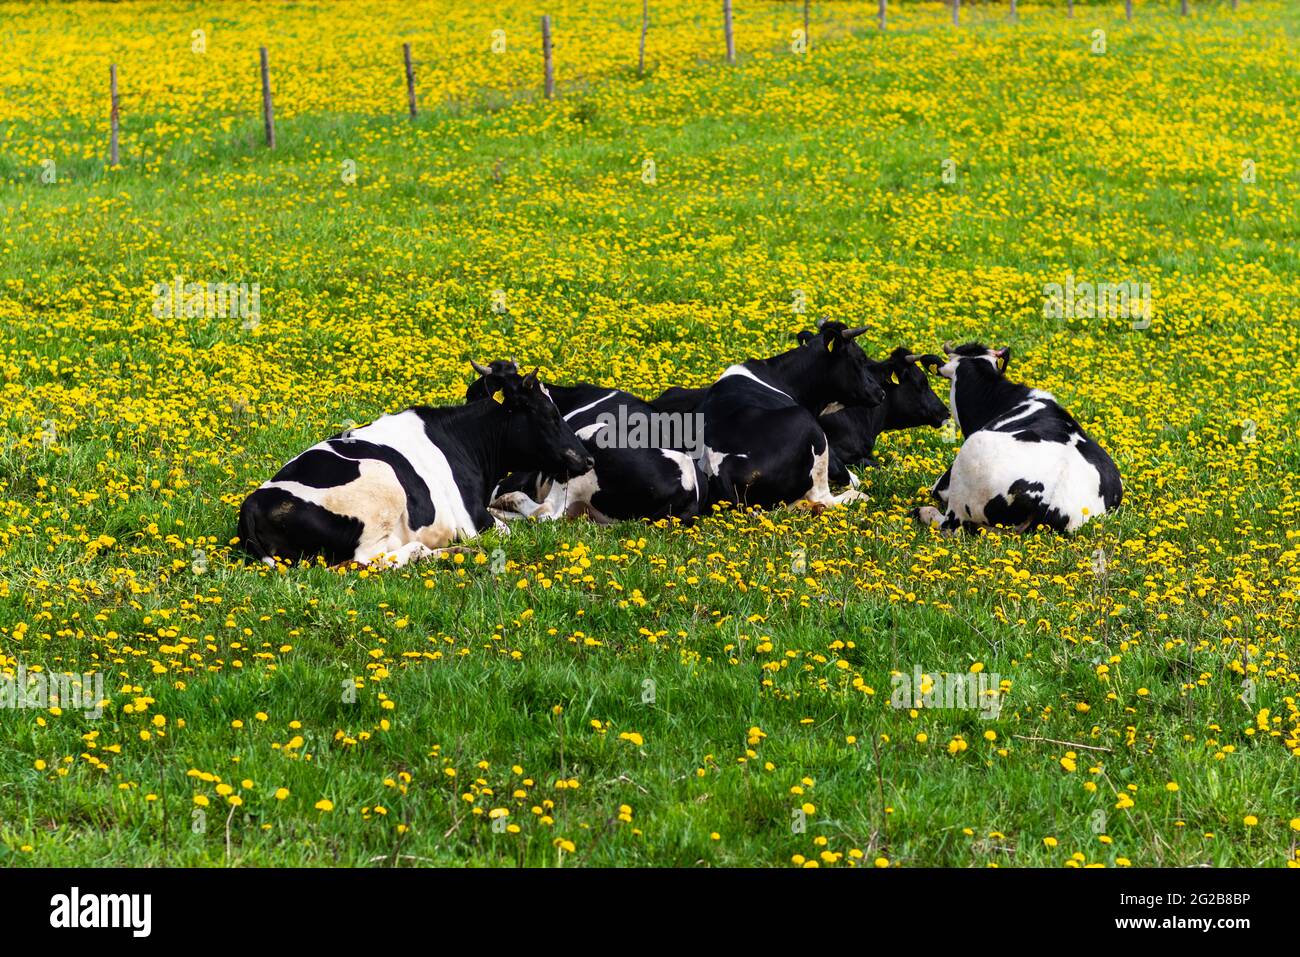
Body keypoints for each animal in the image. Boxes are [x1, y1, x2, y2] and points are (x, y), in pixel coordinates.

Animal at [236, 367, 593, 567]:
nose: (588, 458)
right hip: (384, 480)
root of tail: (253, 502)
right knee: (369, 561)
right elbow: (506, 529)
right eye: (550, 414)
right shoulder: (474, 520)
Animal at [696, 321, 886, 510]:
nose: (880, 392)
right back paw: (859, 496)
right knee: (823, 498)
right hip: (807, 424)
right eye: (860, 358)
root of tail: (721, 471)